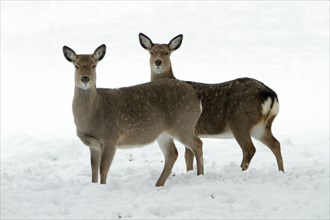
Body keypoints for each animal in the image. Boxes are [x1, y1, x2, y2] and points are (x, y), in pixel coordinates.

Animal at [62, 43, 204, 186]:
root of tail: (197, 95)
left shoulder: (111, 138)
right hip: (164, 133)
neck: (95, 114)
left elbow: (103, 169)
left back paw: (200, 175)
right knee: (172, 154)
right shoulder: (93, 144)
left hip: (183, 124)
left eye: (94, 65)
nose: (85, 78)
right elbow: (93, 169)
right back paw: (158, 185)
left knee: (197, 144)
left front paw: (102, 187)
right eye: (76, 65)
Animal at [139, 33, 284, 173]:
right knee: (276, 144)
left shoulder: (188, 127)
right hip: (262, 125)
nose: (158, 62)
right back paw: (281, 172)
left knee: (249, 149)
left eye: (167, 52)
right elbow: (188, 156)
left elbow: (188, 155)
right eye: (151, 52)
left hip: (240, 121)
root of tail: (270, 94)